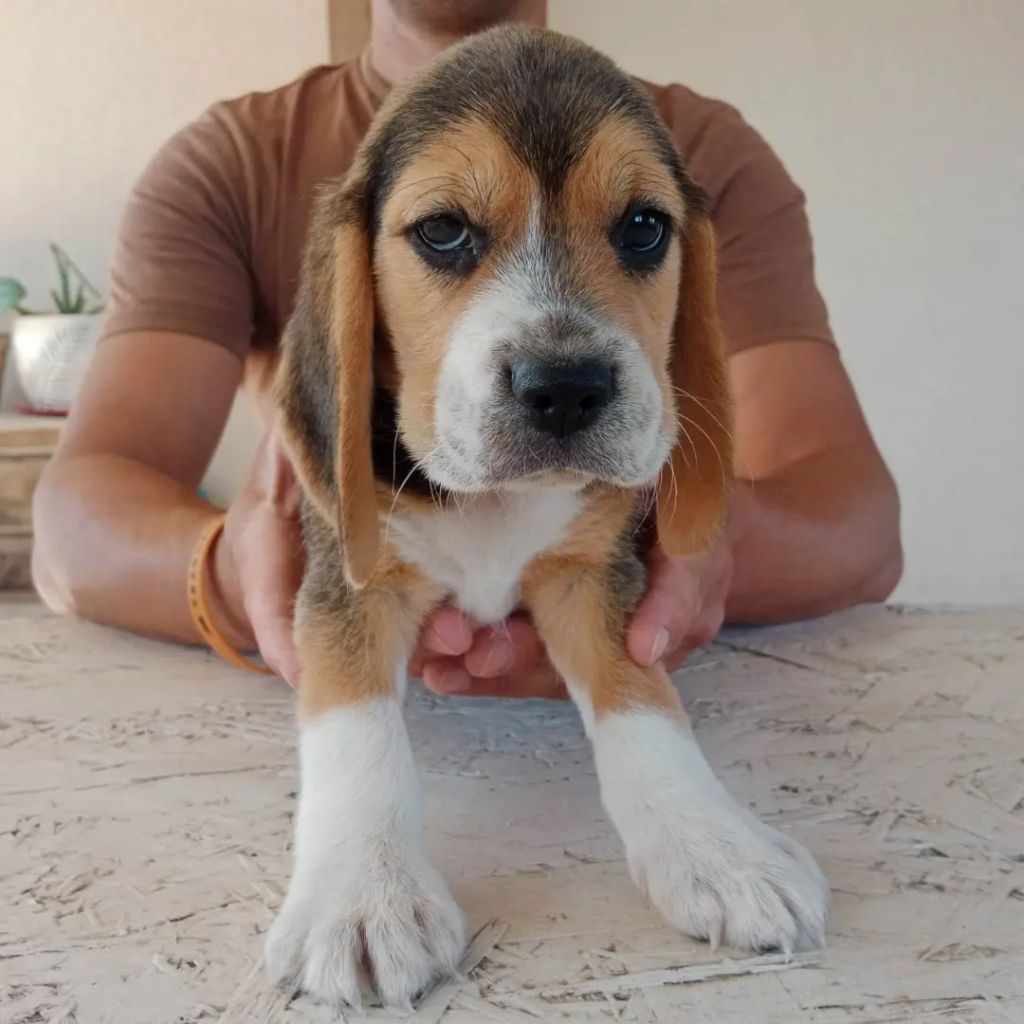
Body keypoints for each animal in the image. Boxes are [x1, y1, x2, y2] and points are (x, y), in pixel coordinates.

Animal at [266, 24, 829, 1008]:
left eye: (643, 227)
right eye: (442, 231)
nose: (565, 387)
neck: (495, 501)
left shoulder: (595, 577)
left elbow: (648, 705)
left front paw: (718, 847)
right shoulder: (347, 579)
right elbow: (353, 728)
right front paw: (363, 893)